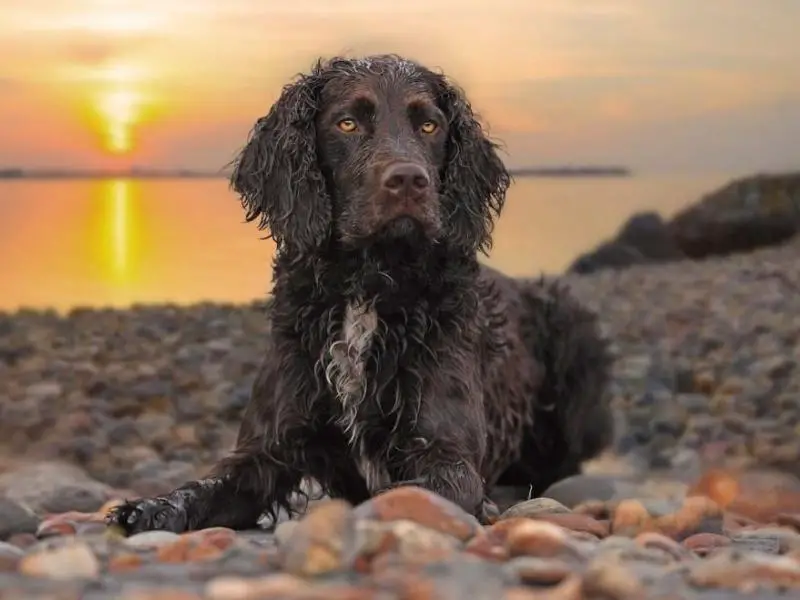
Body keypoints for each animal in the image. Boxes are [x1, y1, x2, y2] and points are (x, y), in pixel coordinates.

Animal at [106, 55, 612, 536]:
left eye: (429, 125)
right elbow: (207, 486)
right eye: (347, 123)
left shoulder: (447, 455)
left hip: (573, 324)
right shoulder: (268, 448)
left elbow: (408, 491)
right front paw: (150, 508)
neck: (366, 288)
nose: (408, 181)